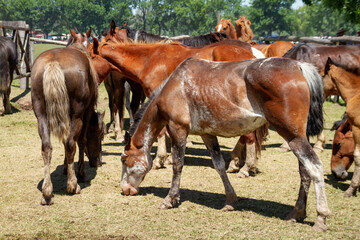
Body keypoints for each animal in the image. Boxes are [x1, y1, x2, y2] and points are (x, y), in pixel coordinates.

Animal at [31, 40, 105, 204]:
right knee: (71, 143)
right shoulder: (86, 112)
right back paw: (73, 184)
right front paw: (81, 173)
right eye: (101, 135)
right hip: (77, 116)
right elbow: (81, 141)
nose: (98, 161)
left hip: (41, 115)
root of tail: (53, 63)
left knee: (46, 147)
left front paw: (65, 168)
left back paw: (47, 192)